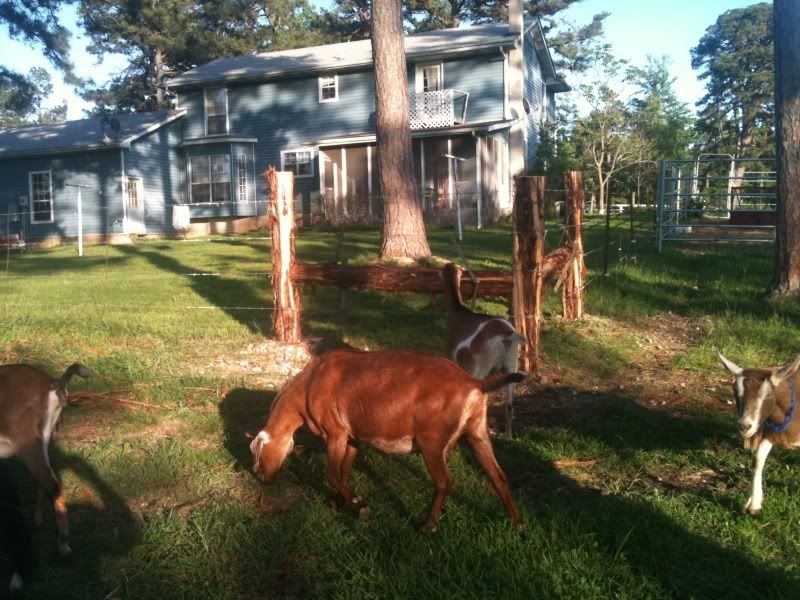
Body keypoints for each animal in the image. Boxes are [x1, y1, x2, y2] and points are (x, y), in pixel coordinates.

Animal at [0, 363, 95, 557]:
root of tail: (54, 384)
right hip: (46, 439)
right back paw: (36, 522)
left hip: (28, 443)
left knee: (54, 485)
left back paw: (63, 547)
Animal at [250, 349, 526, 532]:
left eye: (257, 451)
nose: (261, 476)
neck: (310, 385)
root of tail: (473, 382)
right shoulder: (353, 436)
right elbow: (344, 471)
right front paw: (342, 502)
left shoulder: (335, 432)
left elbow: (331, 474)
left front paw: (359, 504)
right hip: (477, 432)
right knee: (498, 477)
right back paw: (518, 524)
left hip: (431, 441)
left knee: (444, 482)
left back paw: (428, 525)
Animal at [442, 262, 526, 439]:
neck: (458, 311)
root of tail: (508, 335)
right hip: (511, 364)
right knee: (509, 405)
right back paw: (508, 437)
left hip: (479, 368)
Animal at [718, 352, 800, 514]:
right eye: (735, 392)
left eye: (768, 394)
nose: (745, 426)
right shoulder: (769, 432)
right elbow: (758, 459)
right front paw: (754, 504)